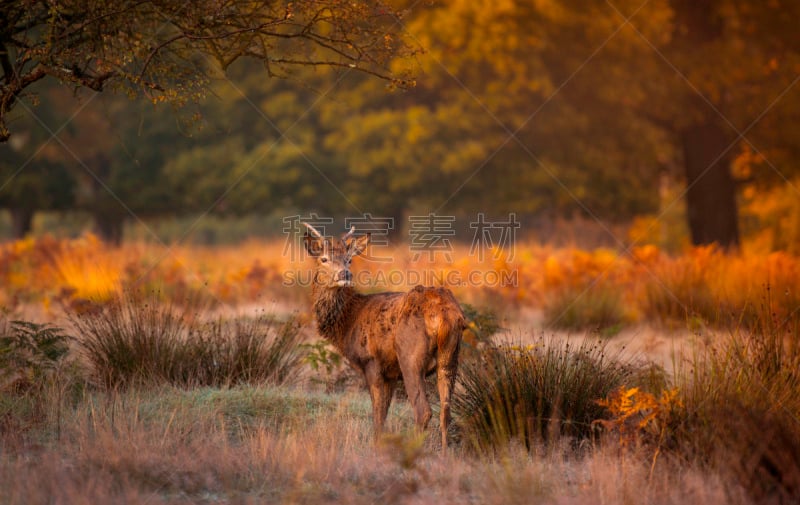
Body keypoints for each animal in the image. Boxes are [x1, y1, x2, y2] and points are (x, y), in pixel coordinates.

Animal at [302, 222, 466, 446]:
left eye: (349, 259)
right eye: (324, 259)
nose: (345, 274)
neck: (349, 321)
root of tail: (445, 316)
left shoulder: (372, 362)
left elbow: (378, 417)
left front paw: (377, 446)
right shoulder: (390, 373)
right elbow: (383, 414)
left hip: (410, 356)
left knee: (423, 411)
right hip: (450, 357)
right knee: (446, 412)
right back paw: (444, 451)